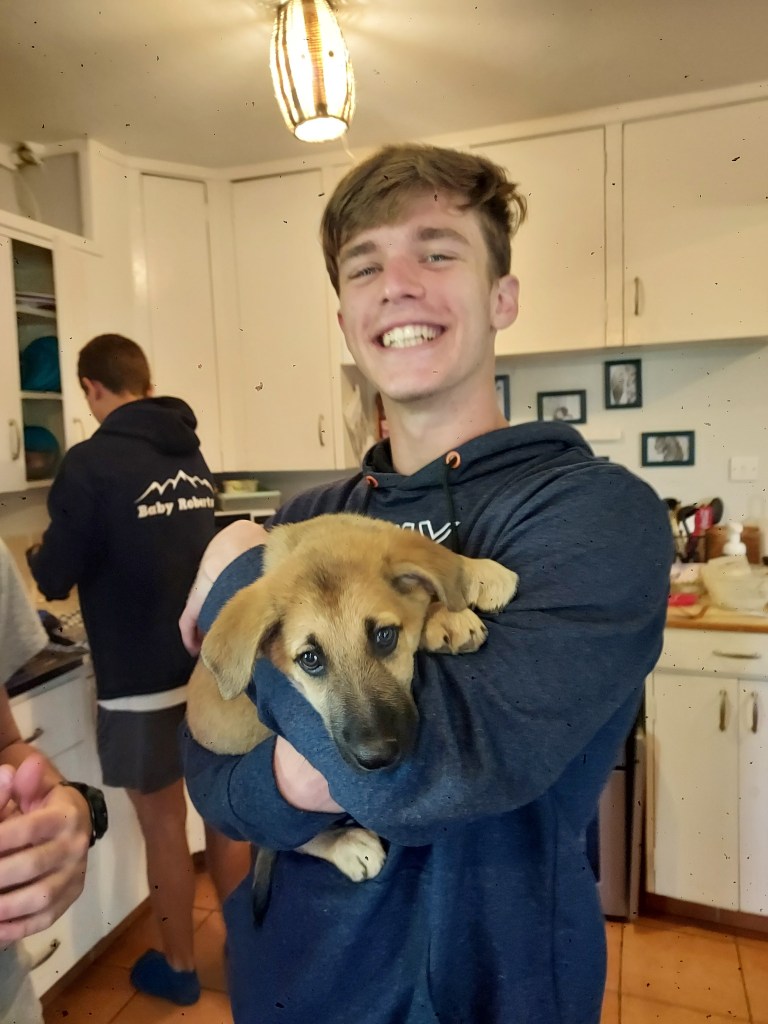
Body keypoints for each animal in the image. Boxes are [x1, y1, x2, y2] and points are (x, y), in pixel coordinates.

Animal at [187, 512, 519, 918]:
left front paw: (471, 577)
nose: (376, 757)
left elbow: (433, 558)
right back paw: (346, 844)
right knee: (285, 834)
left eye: (385, 636)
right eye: (310, 659)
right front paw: (449, 615)